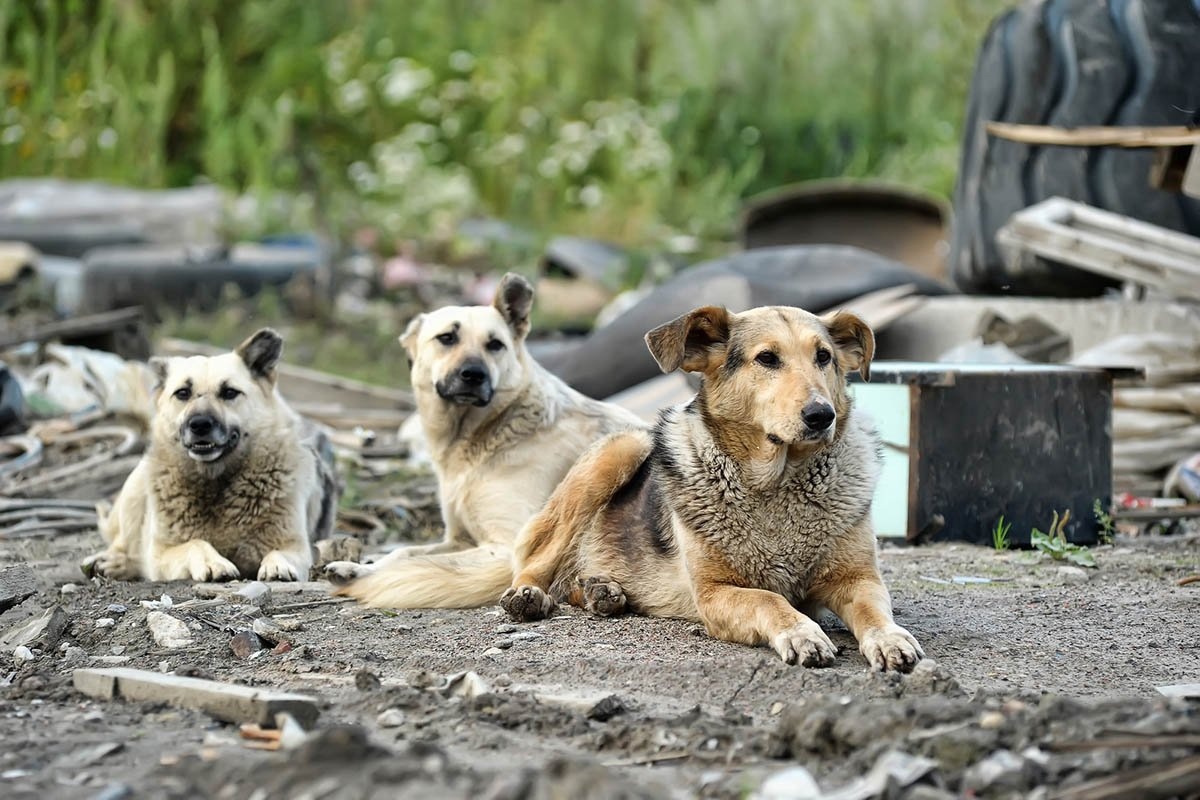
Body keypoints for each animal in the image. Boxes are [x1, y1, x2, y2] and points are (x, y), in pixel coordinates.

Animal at [83, 328, 338, 585]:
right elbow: (195, 543)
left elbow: (280, 552)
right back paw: (111, 563)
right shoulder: (162, 553)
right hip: (135, 489)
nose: (200, 425)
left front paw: (278, 565)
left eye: (229, 392)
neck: (216, 481)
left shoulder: (295, 546)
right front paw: (213, 563)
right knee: (124, 545)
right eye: (182, 393)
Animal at [492, 299, 921, 671]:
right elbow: (769, 600)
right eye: (767, 358)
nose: (822, 415)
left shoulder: (858, 579)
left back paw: (603, 591)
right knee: (536, 559)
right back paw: (529, 595)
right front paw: (802, 633)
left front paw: (891, 637)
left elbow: (874, 611)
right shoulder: (714, 592)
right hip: (623, 448)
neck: (778, 483)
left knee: (571, 583)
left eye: (824, 357)